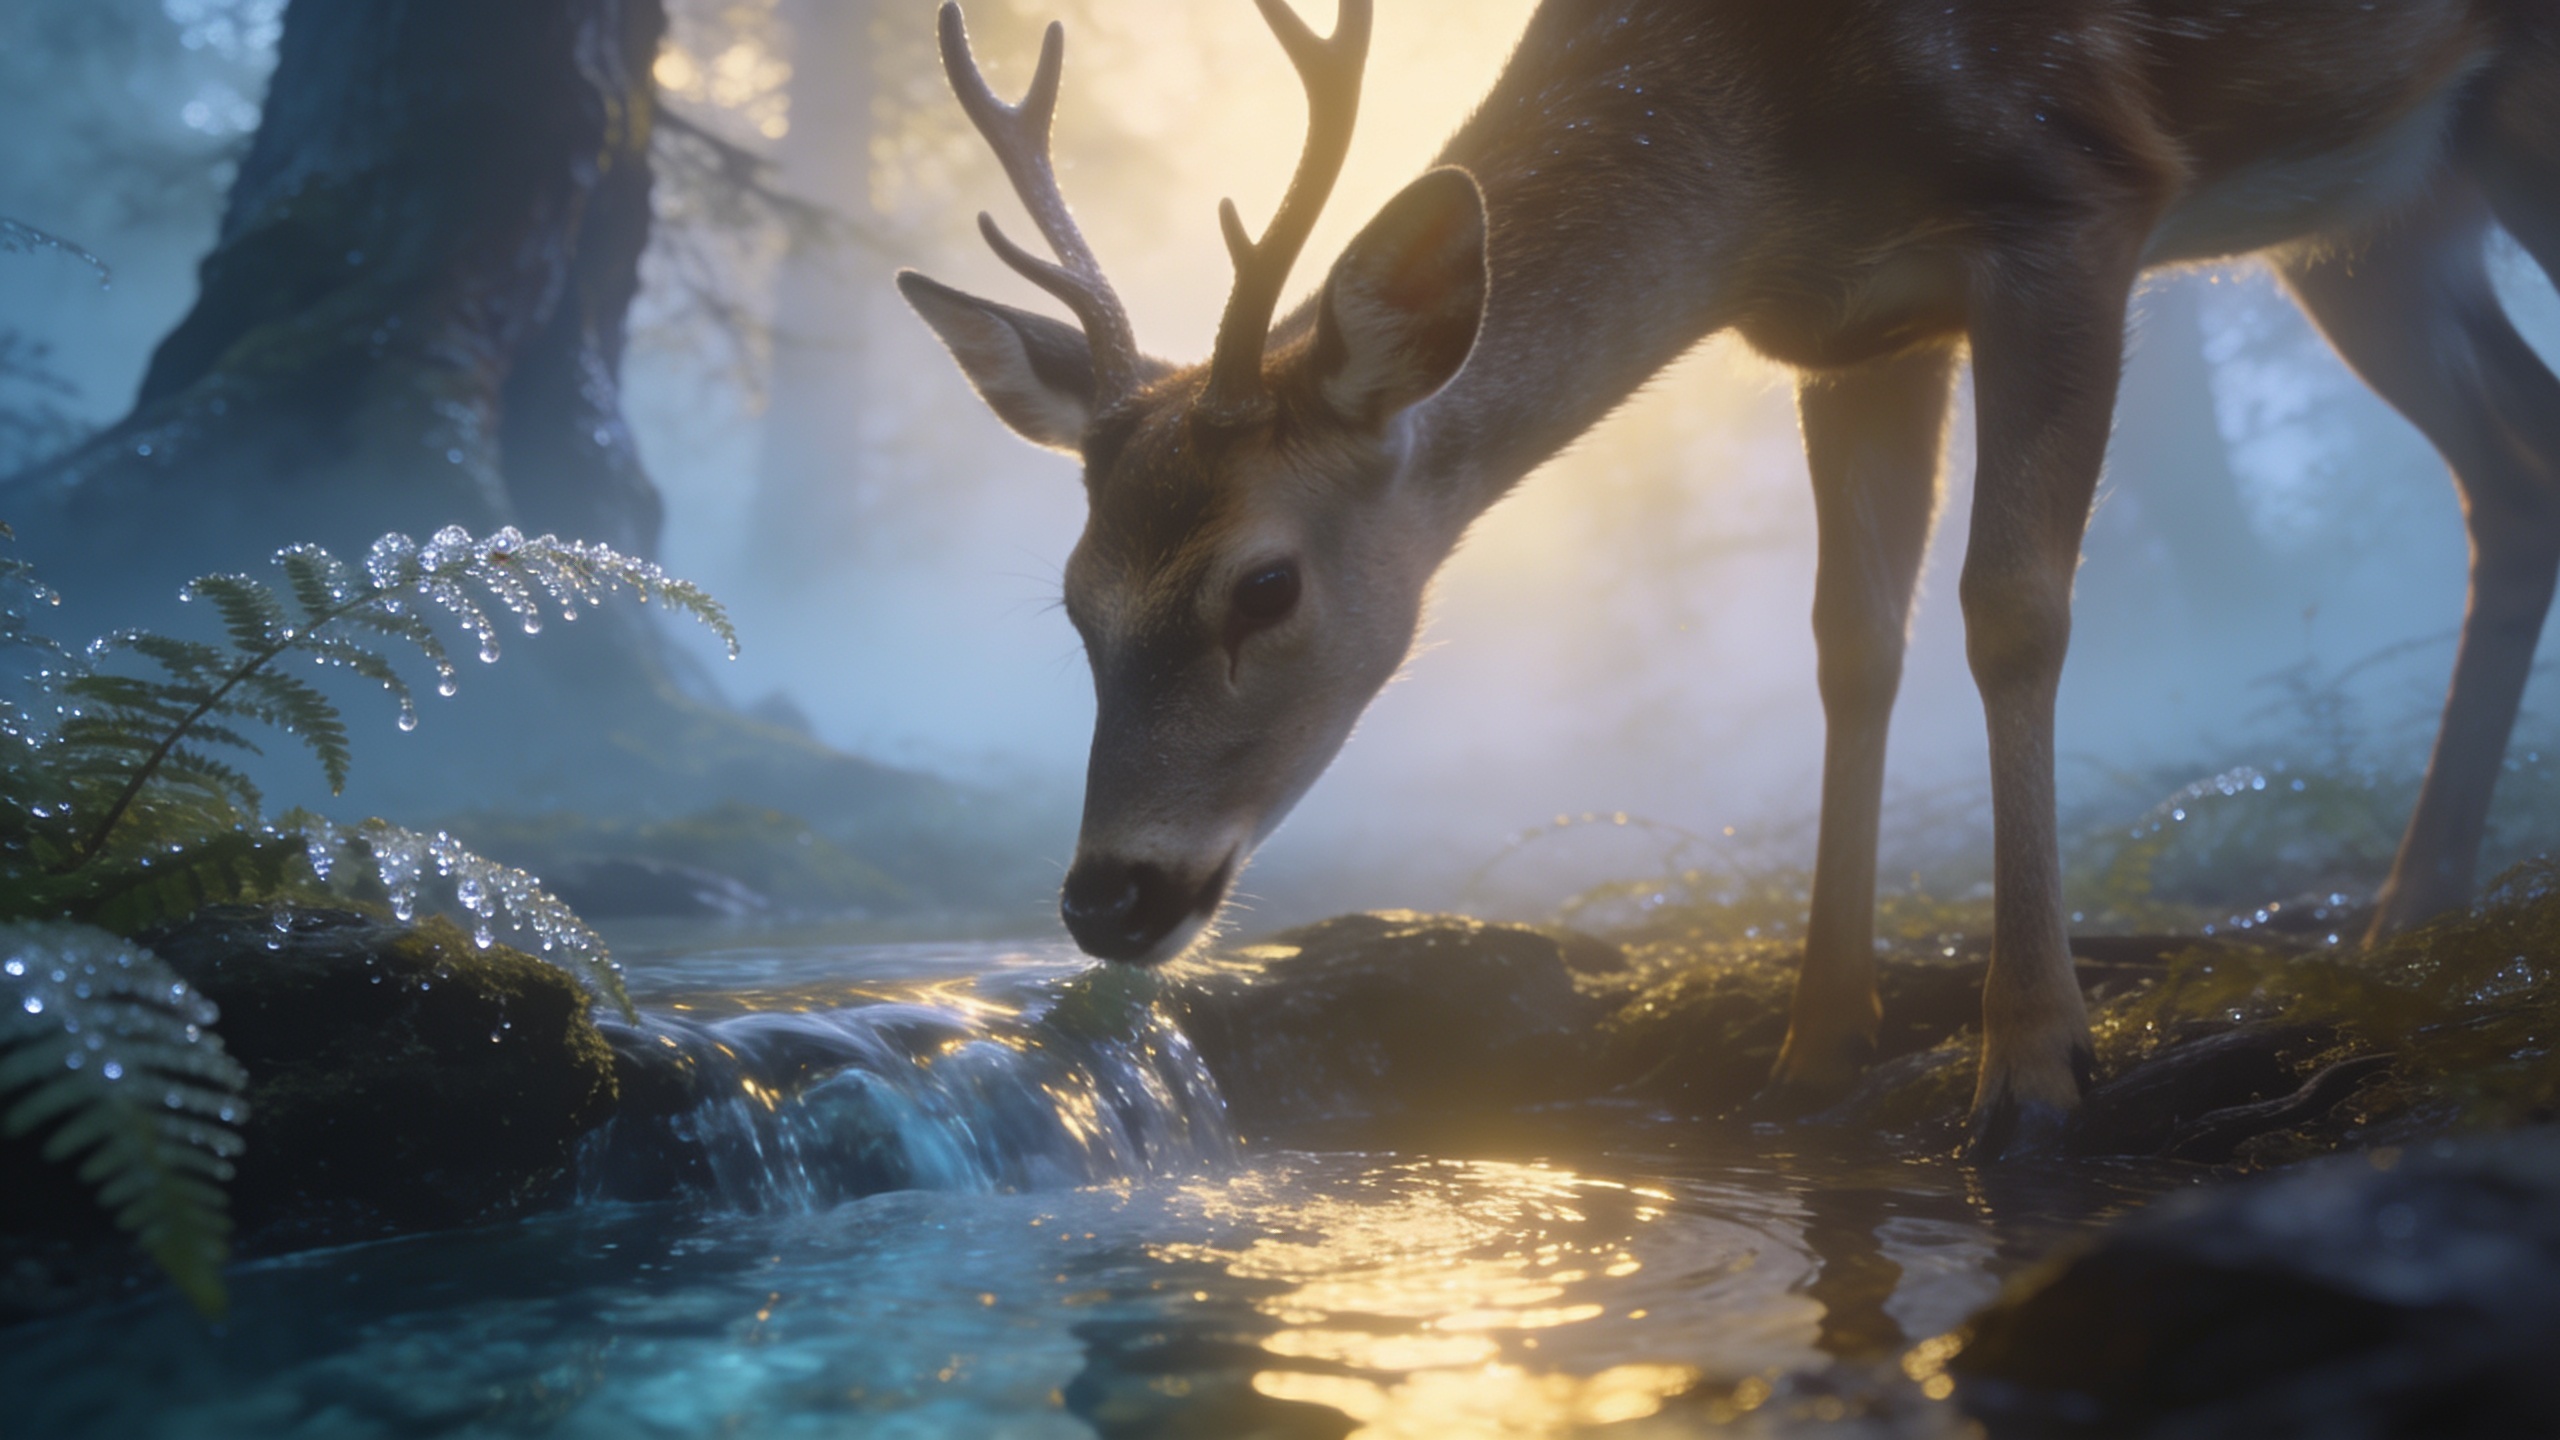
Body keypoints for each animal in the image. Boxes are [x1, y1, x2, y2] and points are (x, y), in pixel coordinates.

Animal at [897, 0, 2560, 1156]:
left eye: (1262, 586)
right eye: (1075, 597)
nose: (1108, 896)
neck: (1767, 155)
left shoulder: (2071, 188)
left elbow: (2011, 610)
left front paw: (2032, 1068)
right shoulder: (1859, 328)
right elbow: (1852, 640)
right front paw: (1814, 1051)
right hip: (2383, 214)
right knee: (2513, 458)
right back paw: (2408, 917)